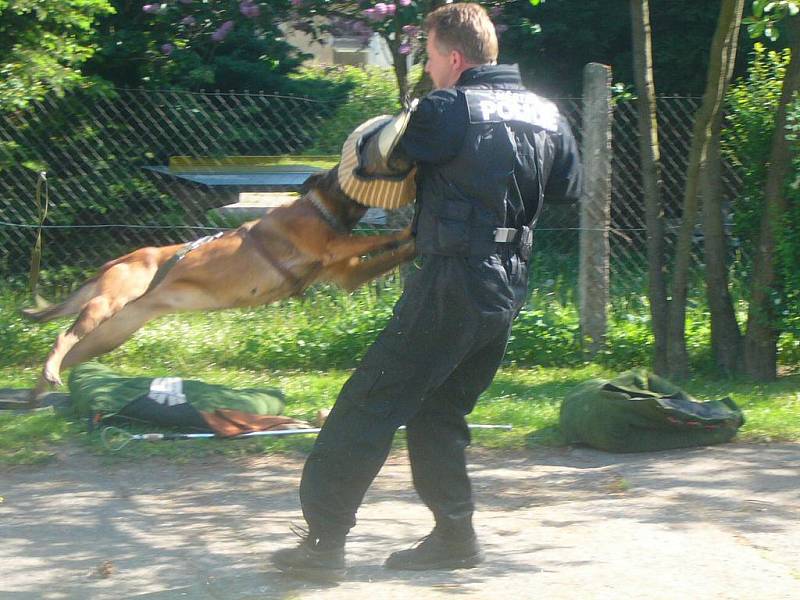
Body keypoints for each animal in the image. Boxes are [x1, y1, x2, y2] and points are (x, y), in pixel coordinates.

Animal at [22, 166, 416, 404]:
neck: (323, 208)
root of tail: (115, 262)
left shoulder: (349, 275)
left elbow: (391, 253)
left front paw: (414, 244)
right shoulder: (333, 245)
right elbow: (377, 239)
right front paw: (409, 229)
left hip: (108, 335)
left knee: (69, 350)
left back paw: (37, 393)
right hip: (105, 307)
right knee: (61, 338)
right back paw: (47, 377)